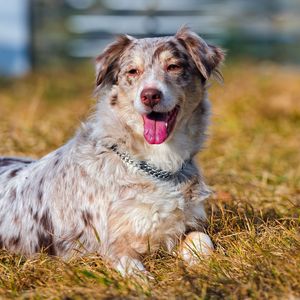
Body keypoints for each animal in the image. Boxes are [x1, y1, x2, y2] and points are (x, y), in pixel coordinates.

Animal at [0, 27, 224, 276]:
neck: (156, 164)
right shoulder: (109, 246)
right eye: (133, 71)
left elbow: (203, 241)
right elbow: (135, 271)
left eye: (173, 67)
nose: (150, 95)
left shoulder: (183, 225)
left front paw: (206, 267)